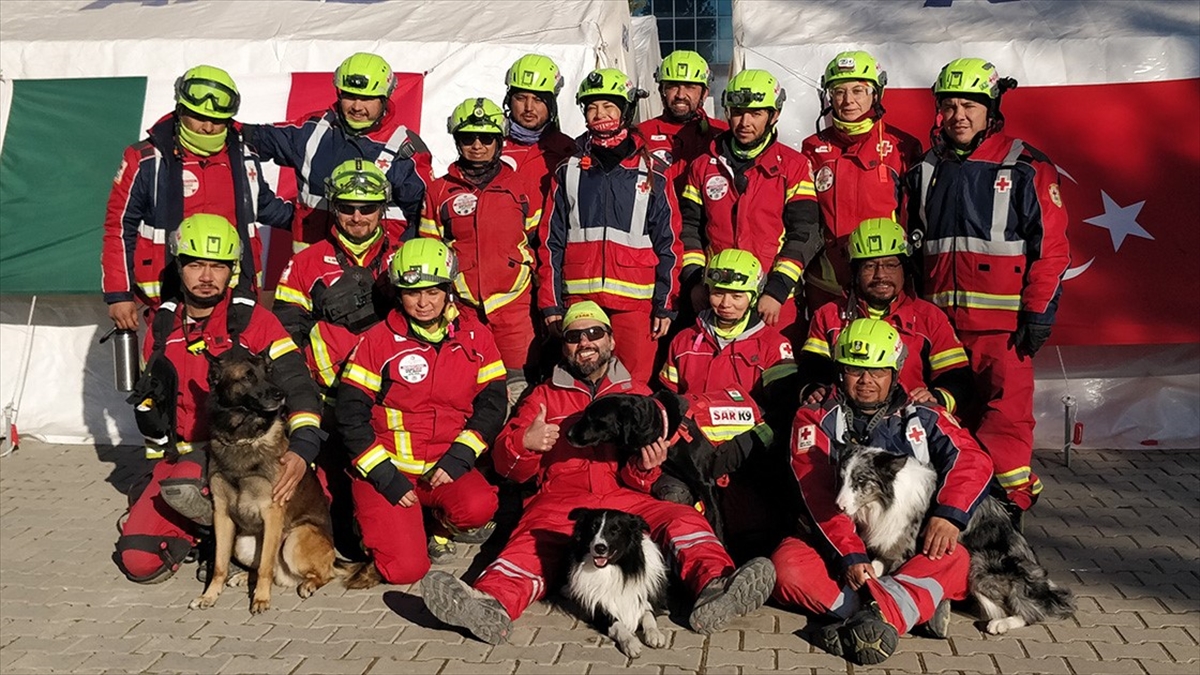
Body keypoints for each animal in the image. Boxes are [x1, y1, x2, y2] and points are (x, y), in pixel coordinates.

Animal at [189, 348, 338, 612]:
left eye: (269, 373)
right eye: (248, 376)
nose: (281, 394)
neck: (242, 439)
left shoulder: (272, 513)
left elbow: (265, 568)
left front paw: (260, 599)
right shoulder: (222, 514)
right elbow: (220, 565)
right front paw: (209, 595)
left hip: (294, 539)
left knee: (322, 573)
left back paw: (308, 584)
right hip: (241, 542)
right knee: (261, 569)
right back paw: (240, 576)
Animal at [835, 446, 1080, 629]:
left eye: (860, 480)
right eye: (842, 478)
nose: (838, 506)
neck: (886, 499)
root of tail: (1044, 587)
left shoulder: (906, 551)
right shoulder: (890, 549)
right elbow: (871, 571)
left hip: (981, 564)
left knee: (1031, 610)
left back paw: (1001, 624)